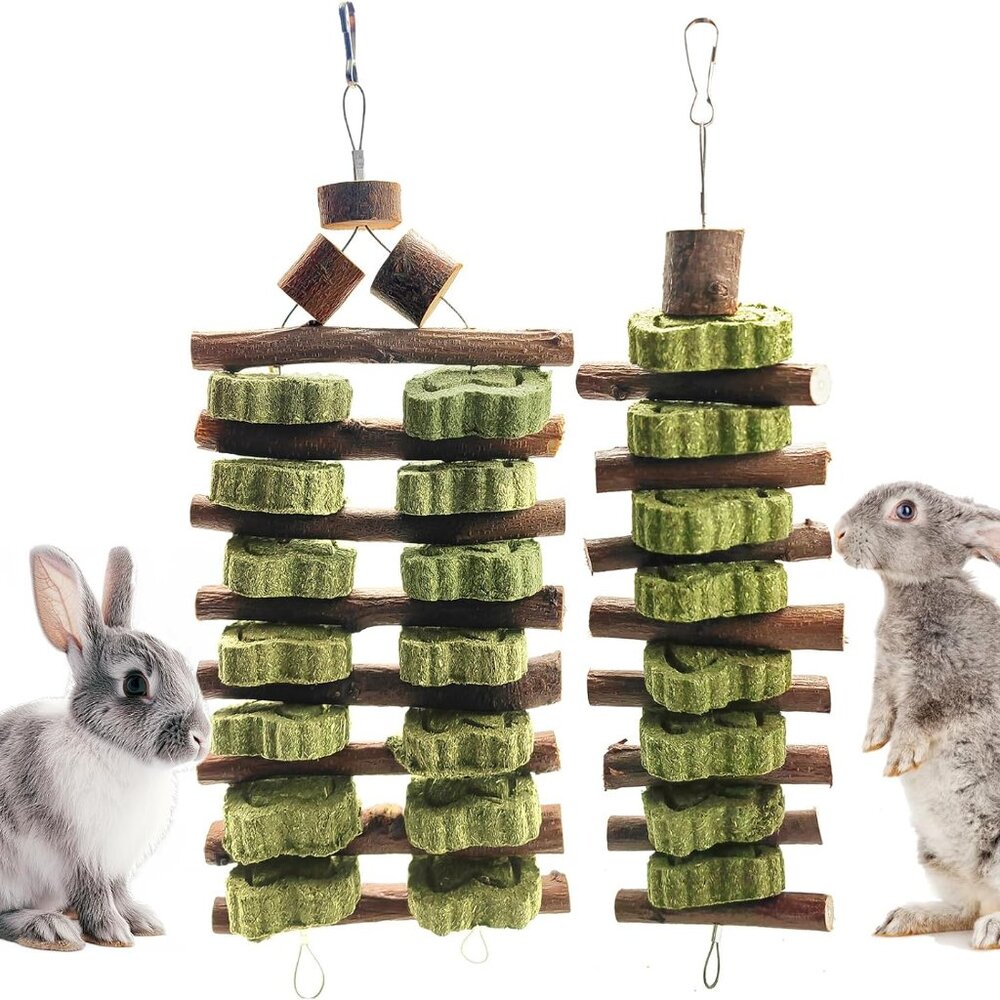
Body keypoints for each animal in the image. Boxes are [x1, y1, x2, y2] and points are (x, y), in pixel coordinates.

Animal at [0, 546, 211, 952]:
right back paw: (48, 927)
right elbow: (94, 892)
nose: (201, 738)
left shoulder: (115, 862)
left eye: (181, 663)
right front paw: (113, 932)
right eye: (134, 684)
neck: (112, 750)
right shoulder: (79, 855)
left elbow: (119, 891)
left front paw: (142, 921)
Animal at [836, 482, 1000, 948]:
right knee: (964, 909)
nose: (838, 533)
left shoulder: (947, 686)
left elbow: (920, 718)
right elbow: (881, 708)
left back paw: (990, 932)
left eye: (905, 511)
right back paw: (905, 919)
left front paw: (899, 759)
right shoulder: (886, 677)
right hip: (936, 858)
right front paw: (872, 741)